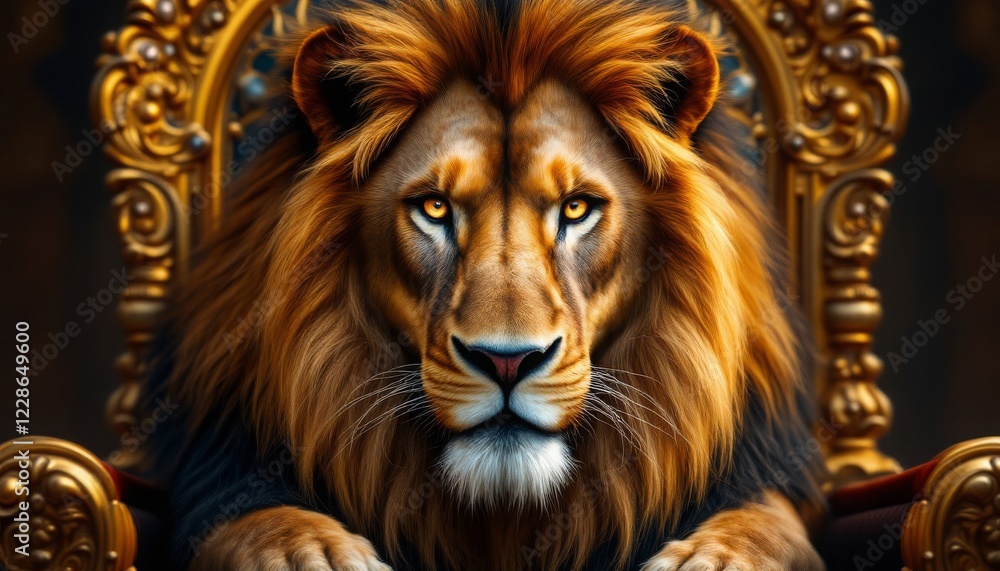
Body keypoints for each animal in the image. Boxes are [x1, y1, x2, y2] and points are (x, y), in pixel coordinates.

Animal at [141, 0, 827, 569]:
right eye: (435, 208)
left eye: (576, 209)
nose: (507, 362)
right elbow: (253, 521)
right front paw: (311, 553)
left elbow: (769, 523)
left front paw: (717, 558)